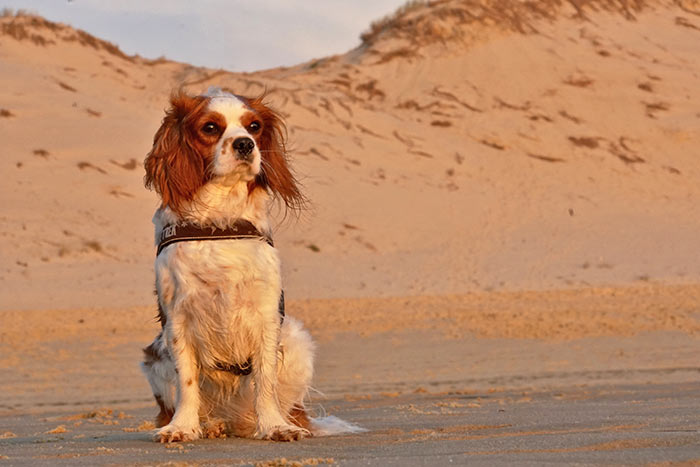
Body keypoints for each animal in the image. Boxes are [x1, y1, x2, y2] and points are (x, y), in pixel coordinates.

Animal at [142, 87, 328, 442]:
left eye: (254, 126)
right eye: (210, 128)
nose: (245, 144)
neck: (221, 221)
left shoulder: (267, 315)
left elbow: (265, 381)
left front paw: (275, 426)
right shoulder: (178, 319)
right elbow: (186, 381)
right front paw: (182, 427)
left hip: (297, 340)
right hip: (153, 357)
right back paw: (209, 425)